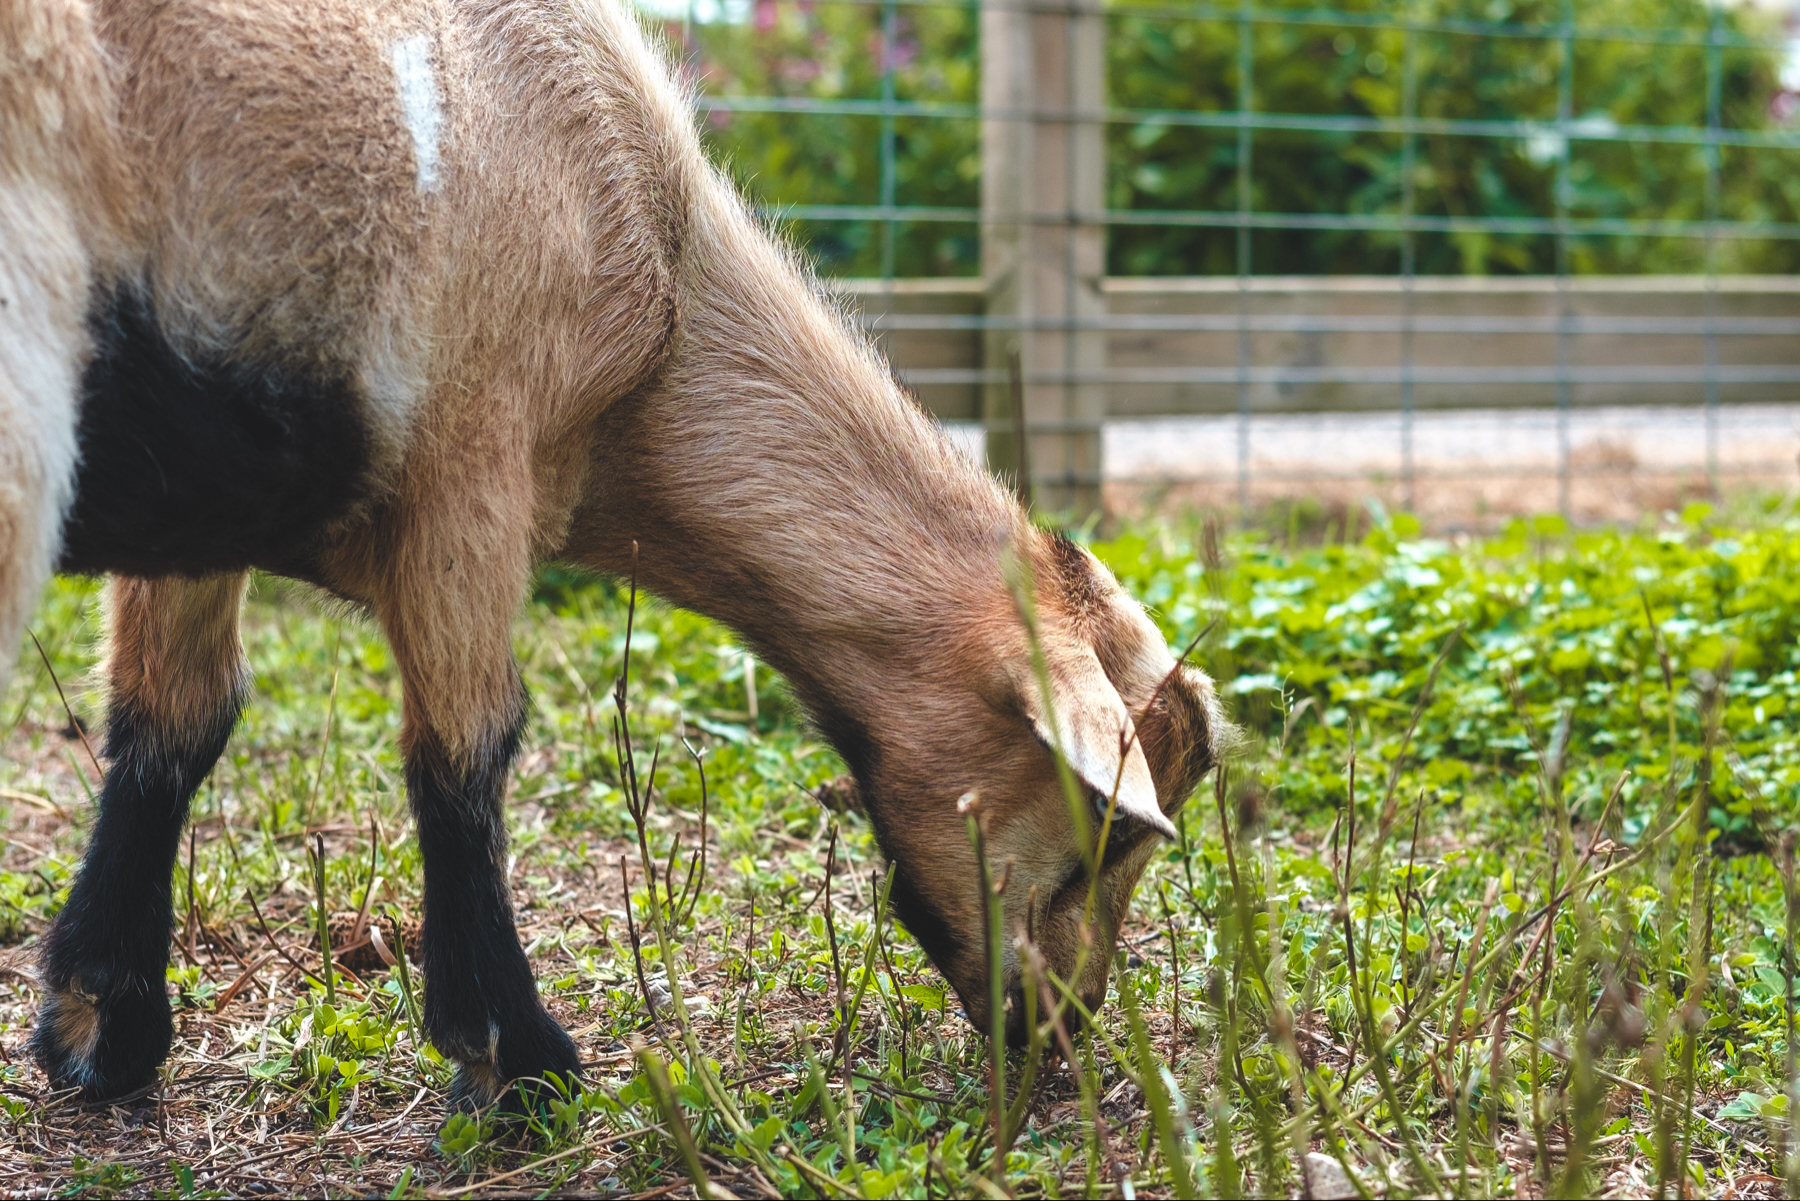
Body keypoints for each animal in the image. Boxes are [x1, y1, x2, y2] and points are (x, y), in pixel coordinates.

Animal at [0, 0, 1224, 1116]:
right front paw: (515, 1058)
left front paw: (100, 1024)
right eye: (1112, 826)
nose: (1060, 1026)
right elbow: (467, 749)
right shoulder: (471, 464)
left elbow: (175, 721)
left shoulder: (214, 501)